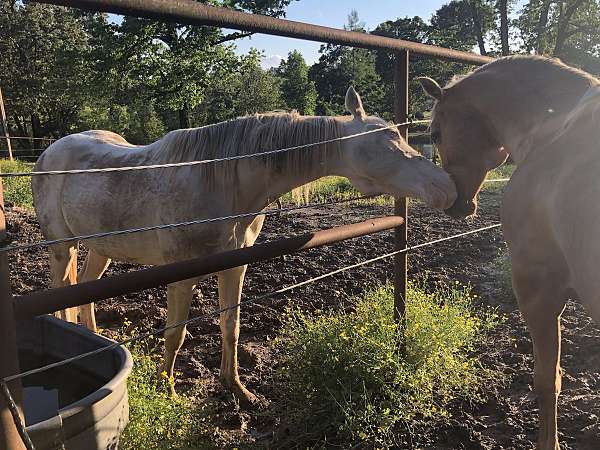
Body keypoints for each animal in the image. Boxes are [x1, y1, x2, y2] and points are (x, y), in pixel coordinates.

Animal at [31, 87, 454, 404]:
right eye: (387, 140)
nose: (447, 187)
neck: (220, 182)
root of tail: (49, 152)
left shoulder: (236, 266)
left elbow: (230, 326)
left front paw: (237, 389)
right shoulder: (182, 276)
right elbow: (176, 334)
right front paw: (168, 389)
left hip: (99, 248)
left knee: (85, 289)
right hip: (61, 248)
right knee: (61, 292)